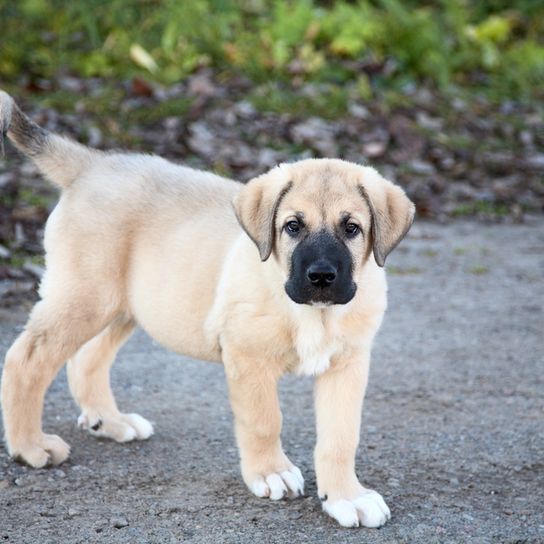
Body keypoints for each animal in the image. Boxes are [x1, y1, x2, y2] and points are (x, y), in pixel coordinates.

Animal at [0, 91, 414, 528]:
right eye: (292, 227)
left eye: (352, 228)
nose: (321, 276)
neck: (313, 313)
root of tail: (92, 165)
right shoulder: (248, 359)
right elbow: (265, 421)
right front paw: (272, 472)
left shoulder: (348, 363)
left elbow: (340, 437)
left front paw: (345, 496)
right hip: (85, 297)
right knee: (26, 360)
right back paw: (30, 446)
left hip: (122, 306)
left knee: (86, 359)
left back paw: (109, 421)